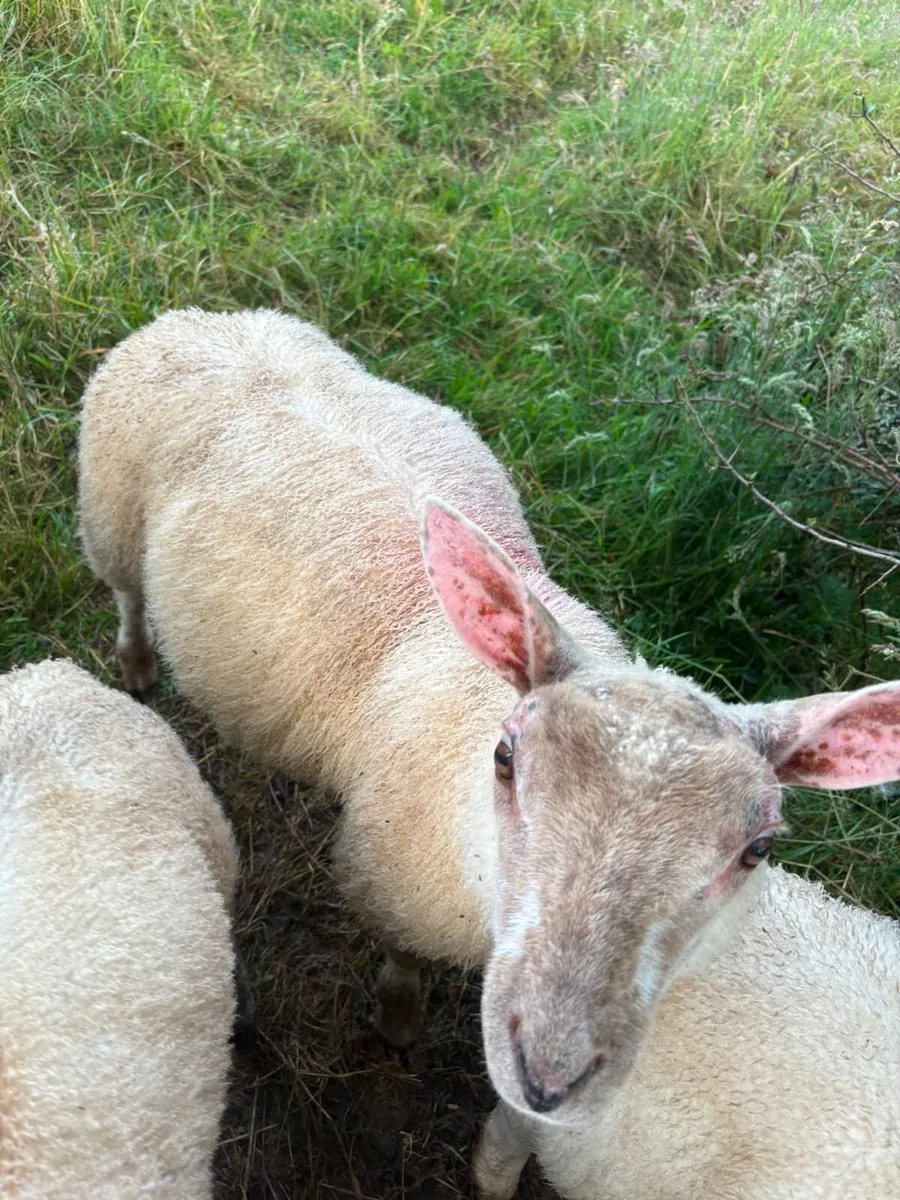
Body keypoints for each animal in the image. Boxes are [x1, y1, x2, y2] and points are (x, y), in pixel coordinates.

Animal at [77, 307, 900, 1130]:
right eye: (506, 760)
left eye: (758, 849)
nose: (549, 1080)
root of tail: (206, 318)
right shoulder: (391, 888)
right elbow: (403, 965)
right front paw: (399, 1022)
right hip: (108, 516)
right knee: (126, 595)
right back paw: (138, 664)